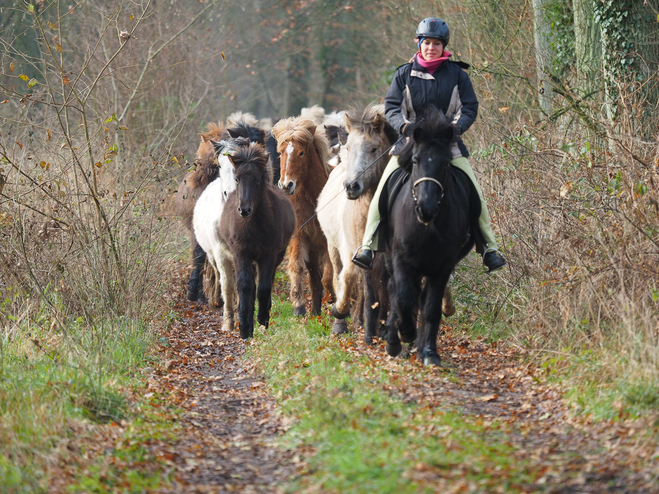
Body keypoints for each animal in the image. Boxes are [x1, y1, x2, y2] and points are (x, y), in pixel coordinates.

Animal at [220, 143, 296, 340]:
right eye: (237, 179)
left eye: (257, 180)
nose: (244, 210)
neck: (252, 227)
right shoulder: (241, 254)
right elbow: (245, 286)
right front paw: (245, 328)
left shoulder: (268, 255)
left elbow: (263, 287)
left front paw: (262, 319)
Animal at [274, 116, 336, 316]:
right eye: (280, 153)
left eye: (301, 153)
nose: (286, 185)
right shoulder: (300, 235)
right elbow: (296, 267)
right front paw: (298, 305)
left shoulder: (327, 241)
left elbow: (329, 275)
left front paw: (333, 299)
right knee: (315, 278)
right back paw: (315, 310)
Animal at [318, 105, 400, 340]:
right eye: (348, 147)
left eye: (373, 149)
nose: (351, 186)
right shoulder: (351, 248)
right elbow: (348, 277)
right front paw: (339, 313)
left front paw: (380, 325)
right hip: (333, 246)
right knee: (340, 276)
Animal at [382, 108, 480, 366]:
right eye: (415, 160)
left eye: (445, 163)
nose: (426, 209)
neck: (427, 227)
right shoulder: (401, 259)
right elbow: (403, 296)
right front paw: (404, 334)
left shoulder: (443, 266)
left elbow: (431, 307)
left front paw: (429, 352)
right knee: (396, 290)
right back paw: (395, 339)